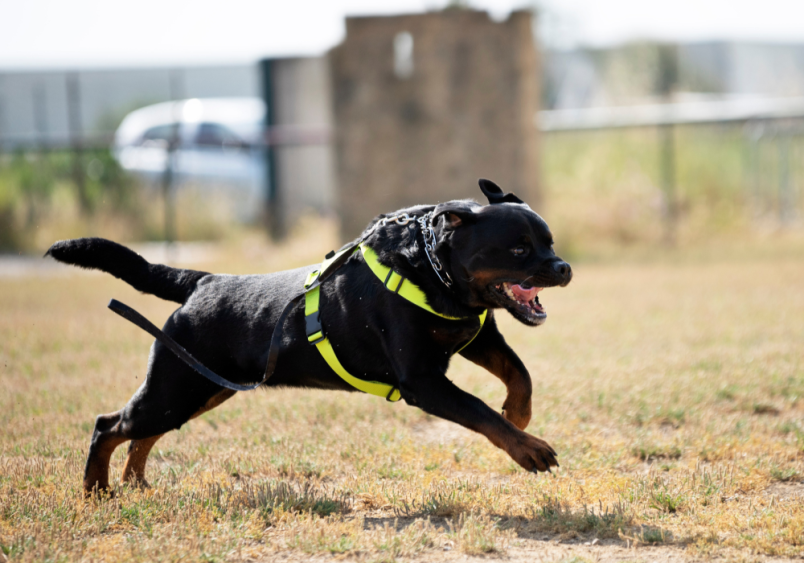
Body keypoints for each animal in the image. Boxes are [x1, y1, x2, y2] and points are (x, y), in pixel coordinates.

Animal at [47, 180, 572, 494]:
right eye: (519, 249)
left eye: (550, 241)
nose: (563, 267)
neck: (432, 270)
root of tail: (202, 281)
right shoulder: (423, 382)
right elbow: (480, 410)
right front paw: (529, 448)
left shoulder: (474, 337)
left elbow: (519, 373)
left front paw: (519, 414)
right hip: (176, 388)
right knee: (108, 425)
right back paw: (96, 490)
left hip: (199, 390)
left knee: (141, 434)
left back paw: (134, 483)